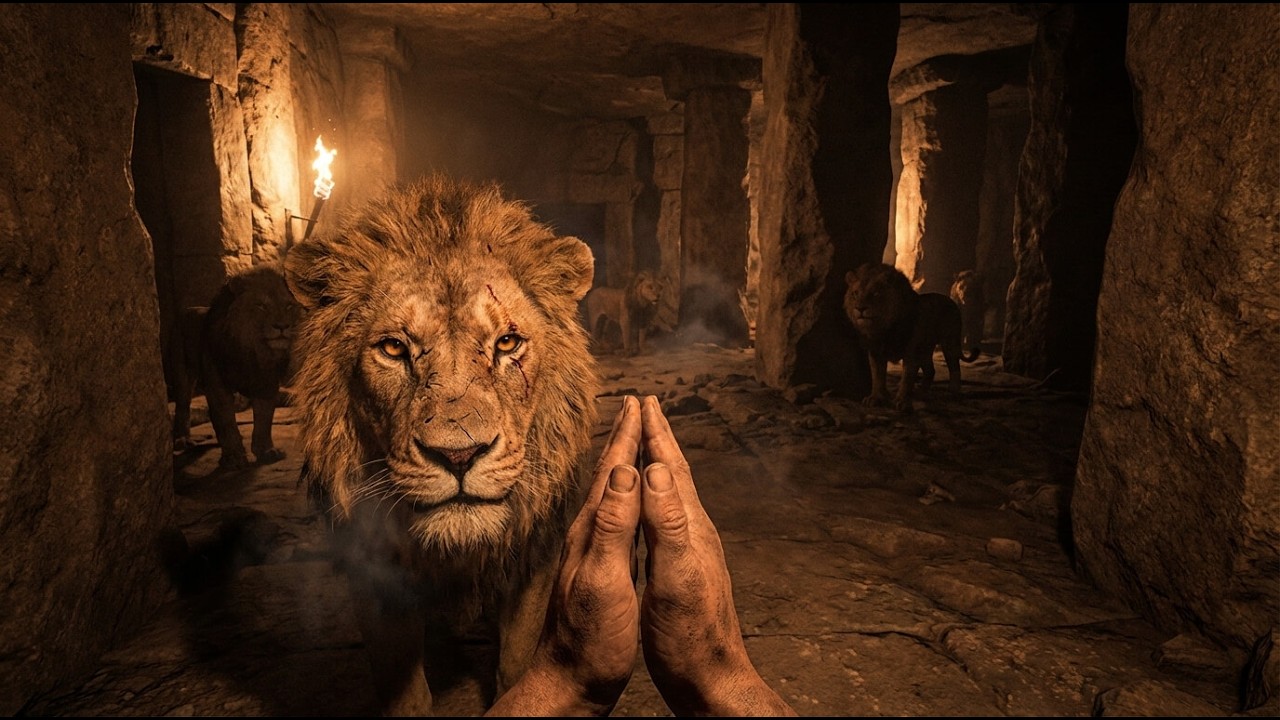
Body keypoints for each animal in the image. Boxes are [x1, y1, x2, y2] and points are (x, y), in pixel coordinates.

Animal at [170, 261, 301, 470]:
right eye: (260, 306)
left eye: (288, 306)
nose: (282, 326)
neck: (253, 351)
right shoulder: (217, 384)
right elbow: (225, 420)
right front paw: (234, 457)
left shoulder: (267, 383)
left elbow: (264, 420)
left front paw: (266, 451)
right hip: (182, 372)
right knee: (182, 405)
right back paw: (182, 440)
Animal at [282, 174, 600, 716]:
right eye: (393, 348)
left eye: (507, 343)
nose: (459, 455)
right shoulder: (372, 566)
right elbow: (405, 692)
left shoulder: (535, 554)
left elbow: (517, 662)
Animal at [843, 262, 966, 413]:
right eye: (855, 294)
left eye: (876, 293)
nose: (860, 308)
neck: (883, 329)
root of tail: (950, 300)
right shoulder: (876, 352)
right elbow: (877, 377)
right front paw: (876, 398)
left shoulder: (911, 352)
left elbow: (907, 379)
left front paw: (902, 401)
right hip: (925, 350)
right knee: (930, 370)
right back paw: (921, 392)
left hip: (950, 343)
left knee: (955, 367)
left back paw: (953, 392)